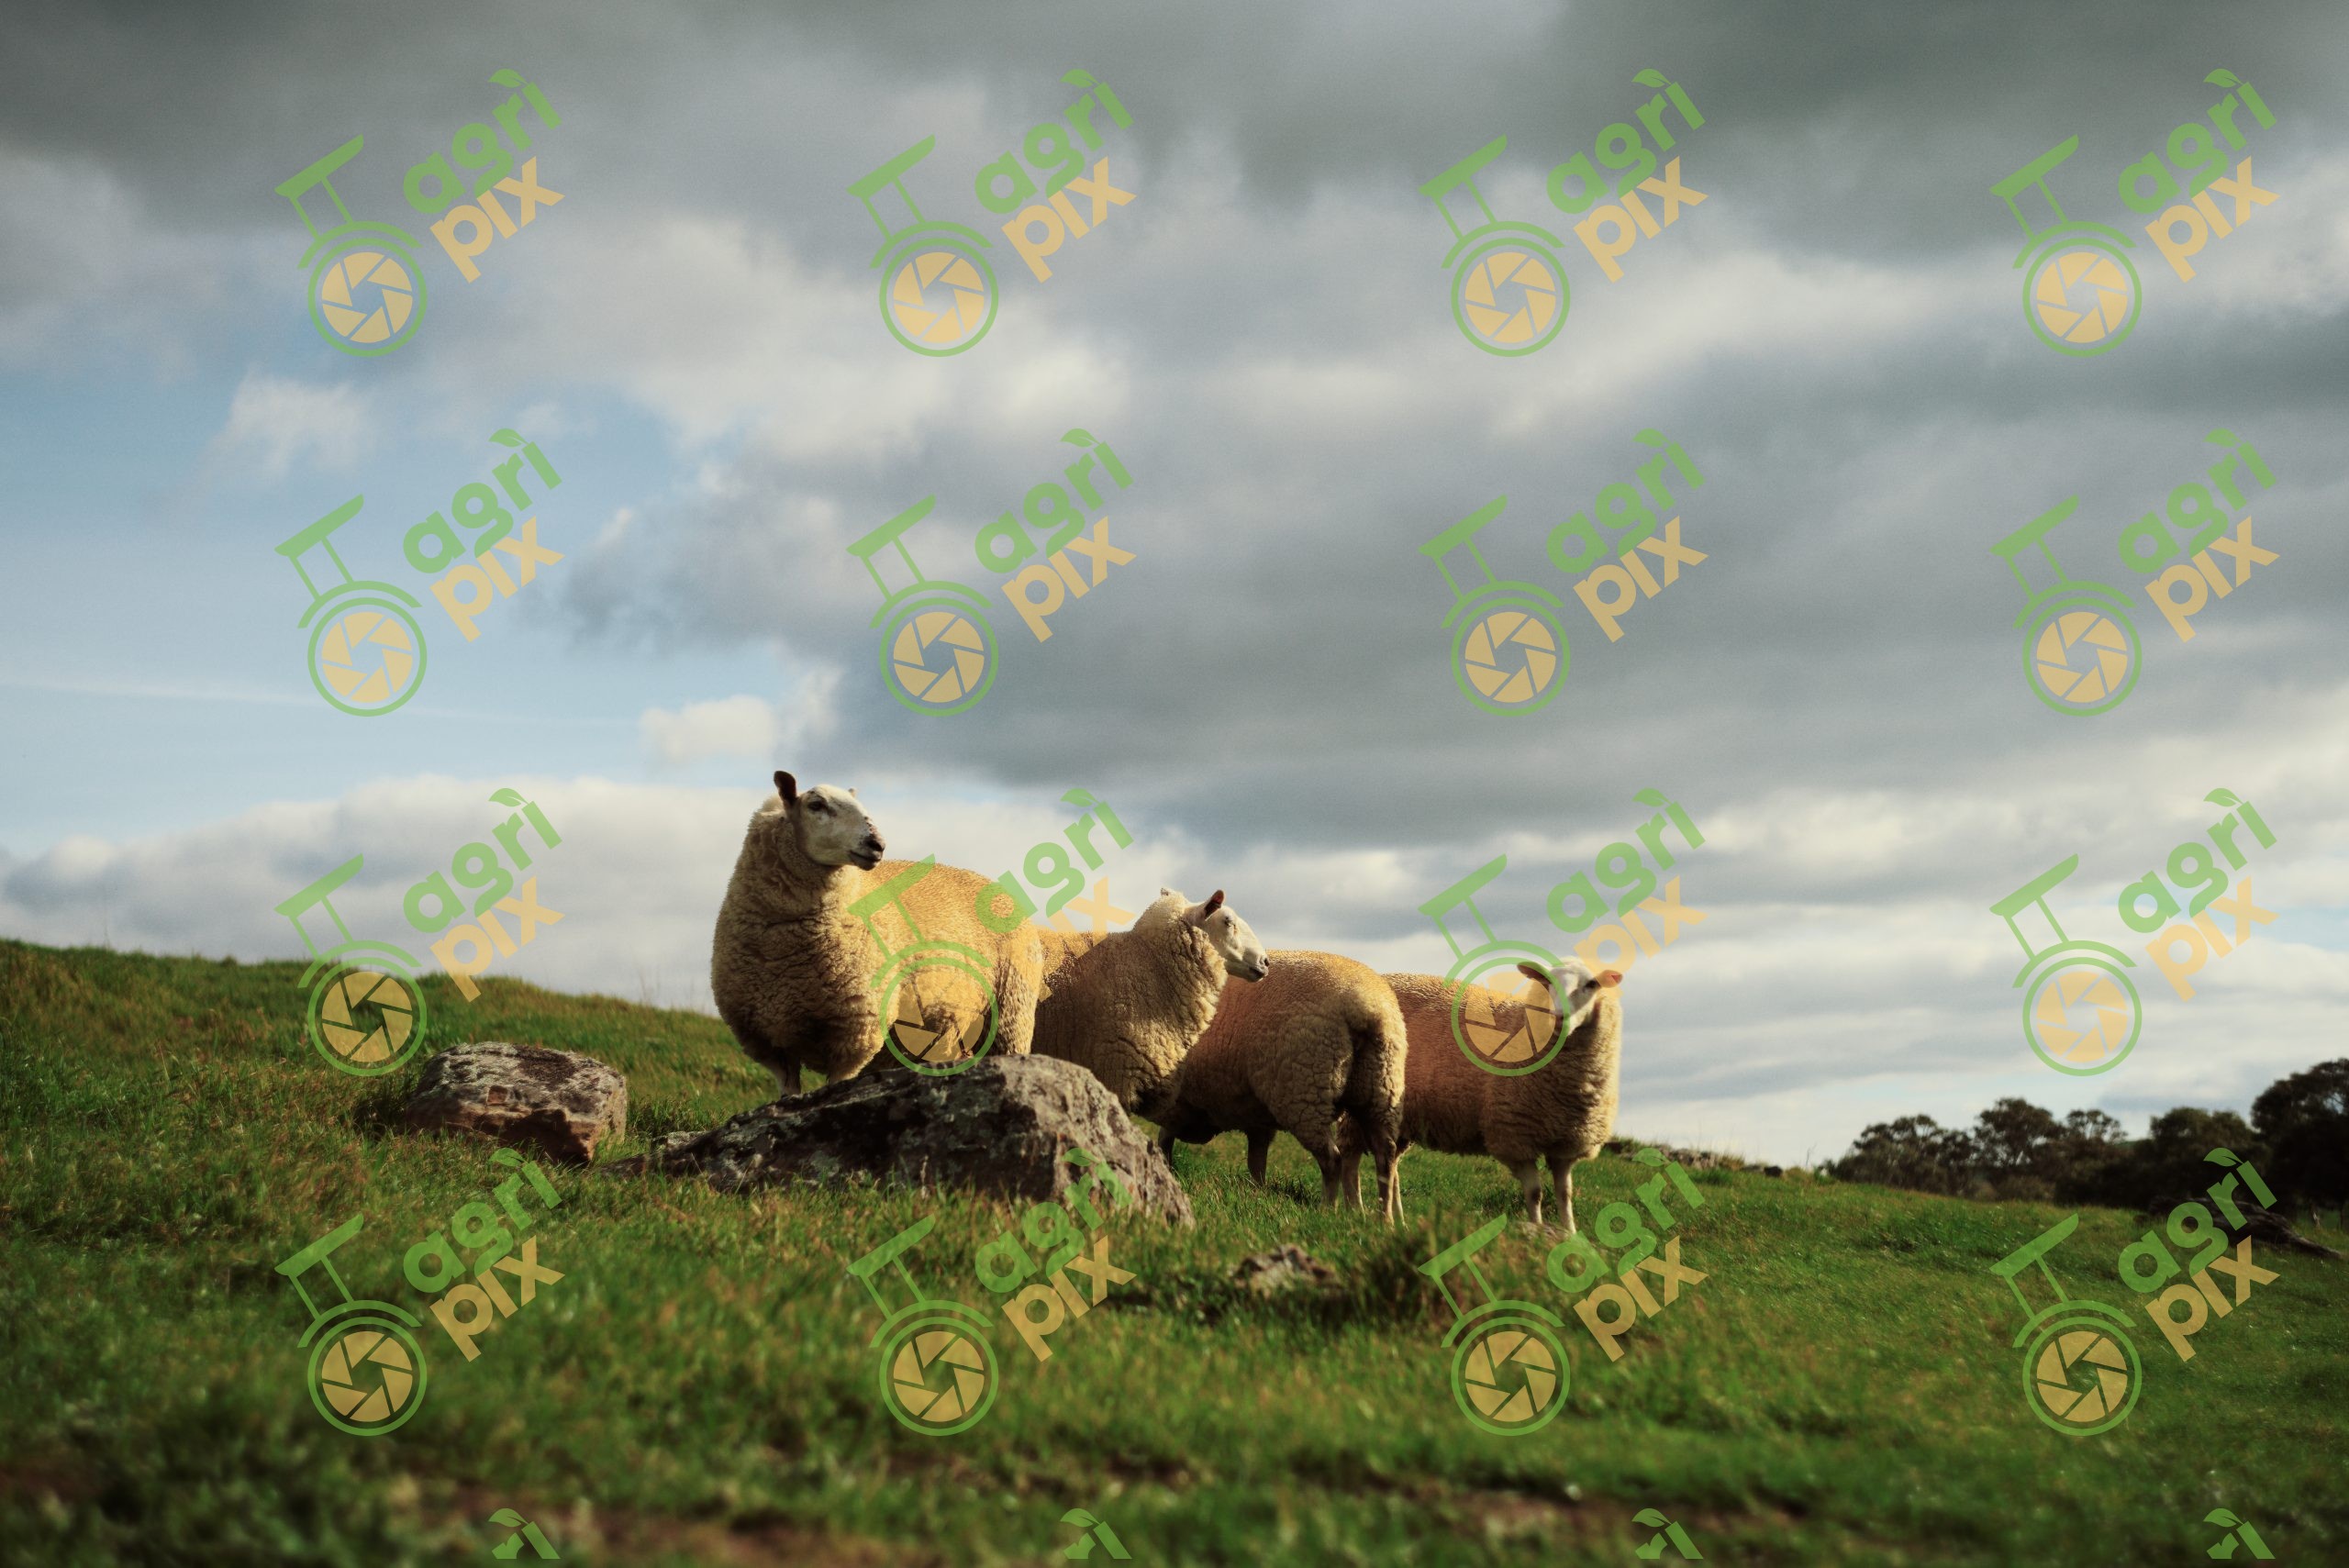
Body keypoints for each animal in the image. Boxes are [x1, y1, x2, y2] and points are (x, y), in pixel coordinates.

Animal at [710, 771, 1046, 1096]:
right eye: (816, 805)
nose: (877, 844)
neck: (787, 954)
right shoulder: (766, 1039)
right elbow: (788, 1093)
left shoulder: (855, 1029)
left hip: (1011, 1012)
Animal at [1154, 950, 1408, 1221]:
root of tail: (1370, 1009)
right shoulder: (1255, 1118)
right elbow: (1256, 1163)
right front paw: (1257, 1195)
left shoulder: (1174, 1103)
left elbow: (1164, 1141)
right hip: (1380, 1089)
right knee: (1386, 1157)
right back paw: (1385, 1219)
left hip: (1305, 1091)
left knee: (1332, 1159)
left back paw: (1328, 1210)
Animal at [1368, 958, 1623, 1230]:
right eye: (1546, 981)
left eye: (1591, 984)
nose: (1559, 1017)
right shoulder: (1514, 1137)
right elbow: (1535, 1193)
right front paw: (1537, 1229)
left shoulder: (1566, 1144)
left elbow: (1565, 1194)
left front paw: (1570, 1232)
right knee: (1376, 1161)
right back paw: (1376, 1218)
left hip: (1402, 1120)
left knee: (1392, 1167)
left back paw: (1399, 1221)